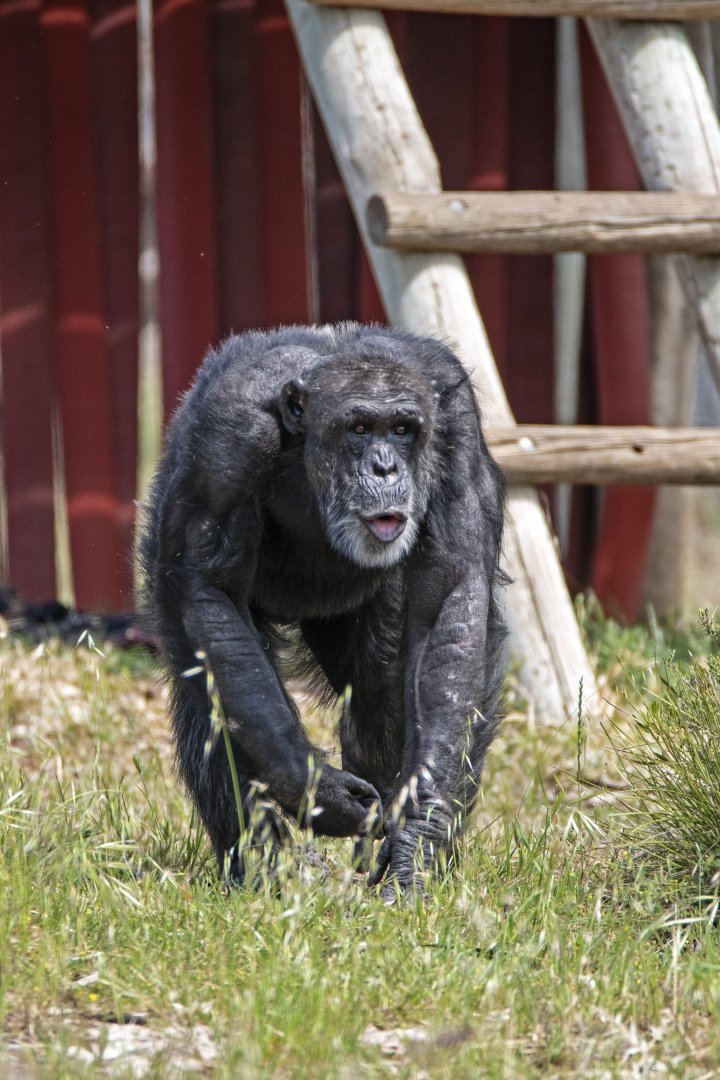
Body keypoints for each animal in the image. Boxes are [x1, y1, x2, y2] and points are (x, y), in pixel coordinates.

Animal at [138, 323, 506, 893]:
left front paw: (418, 838)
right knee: (213, 682)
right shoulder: (227, 439)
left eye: (403, 429)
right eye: (359, 427)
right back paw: (261, 870)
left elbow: (449, 593)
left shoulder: (458, 427)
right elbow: (210, 591)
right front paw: (320, 792)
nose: (385, 465)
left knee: (379, 685)